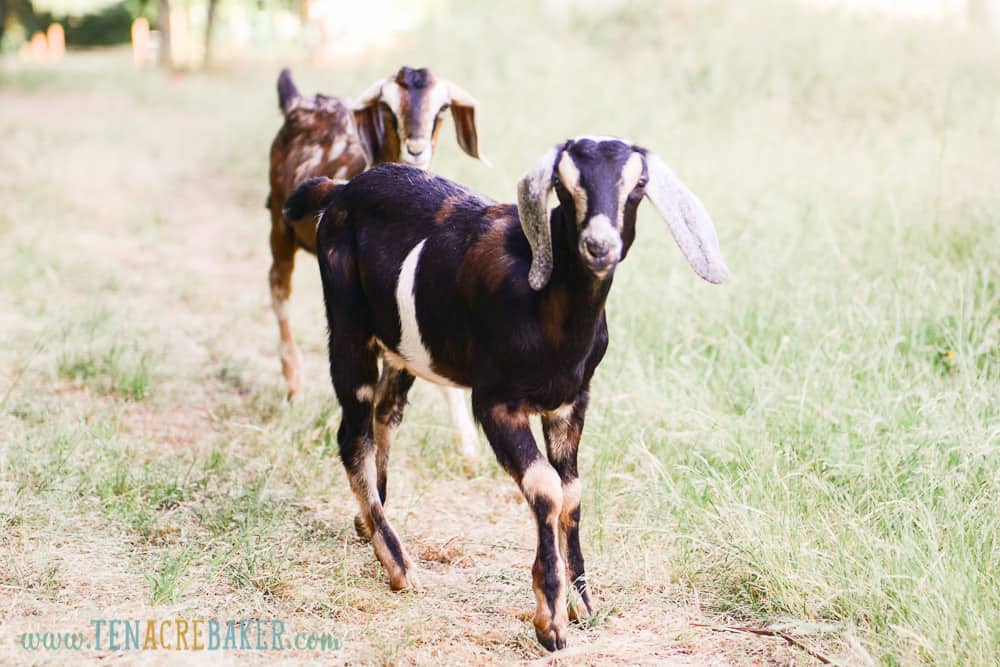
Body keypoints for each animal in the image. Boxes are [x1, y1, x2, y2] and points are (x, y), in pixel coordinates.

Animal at [264, 66, 486, 464]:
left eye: (443, 108)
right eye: (387, 106)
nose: (416, 148)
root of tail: (300, 101)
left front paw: (468, 449)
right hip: (279, 221)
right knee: (279, 287)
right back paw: (294, 385)